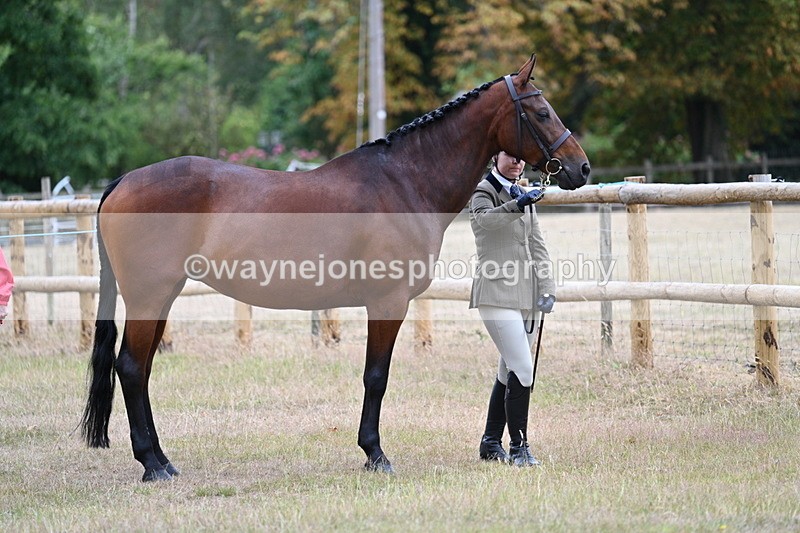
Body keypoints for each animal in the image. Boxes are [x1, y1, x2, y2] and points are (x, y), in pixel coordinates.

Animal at [81, 54, 590, 482]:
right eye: (541, 112)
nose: (581, 168)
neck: (405, 182)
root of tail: (123, 181)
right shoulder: (386, 303)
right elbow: (376, 378)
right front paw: (375, 454)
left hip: (161, 298)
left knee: (141, 370)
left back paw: (163, 460)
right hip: (148, 297)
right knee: (131, 368)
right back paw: (152, 465)